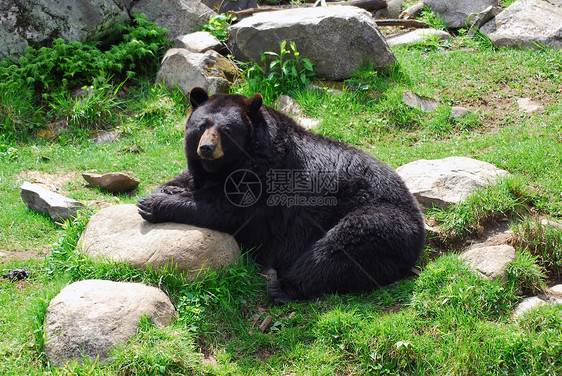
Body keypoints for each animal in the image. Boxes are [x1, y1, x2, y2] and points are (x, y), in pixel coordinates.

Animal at [138, 87, 422, 302]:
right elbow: (192, 179)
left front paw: (151, 203)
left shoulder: (268, 181)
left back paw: (283, 286)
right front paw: (168, 187)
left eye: (226, 130)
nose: (206, 148)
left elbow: (226, 210)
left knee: (338, 249)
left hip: (380, 219)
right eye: (201, 126)